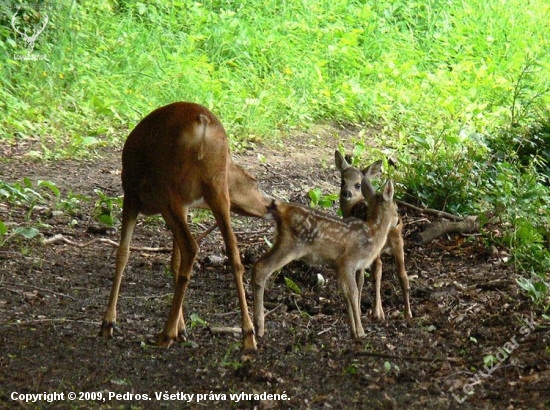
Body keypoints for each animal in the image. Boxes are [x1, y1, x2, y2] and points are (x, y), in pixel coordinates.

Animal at [100, 101, 272, 350]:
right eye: (255, 182)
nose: (272, 205)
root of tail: (203, 123)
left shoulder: (131, 194)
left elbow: (123, 252)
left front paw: (108, 323)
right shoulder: (185, 206)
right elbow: (174, 261)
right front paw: (182, 328)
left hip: (168, 189)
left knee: (191, 246)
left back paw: (165, 334)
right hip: (214, 188)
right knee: (232, 250)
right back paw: (248, 335)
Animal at [254, 177, 402, 340]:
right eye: (397, 207)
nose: (398, 221)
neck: (373, 234)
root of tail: (282, 208)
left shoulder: (339, 265)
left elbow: (345, 293)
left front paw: (353, 331)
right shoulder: (349, 261)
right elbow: (354, 292)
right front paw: (361, 332)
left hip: (281, 242)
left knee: (257, 265)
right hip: (291, 245)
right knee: (262, 268)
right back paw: (259, 327)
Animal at [334, 151, 412, 320]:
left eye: (358, 184)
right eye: (342, 181)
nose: (346, 193)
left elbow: (361, 277)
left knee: (377, 269)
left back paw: (377, 312)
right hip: (399, 242)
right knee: (402, 273)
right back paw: (407, 313)